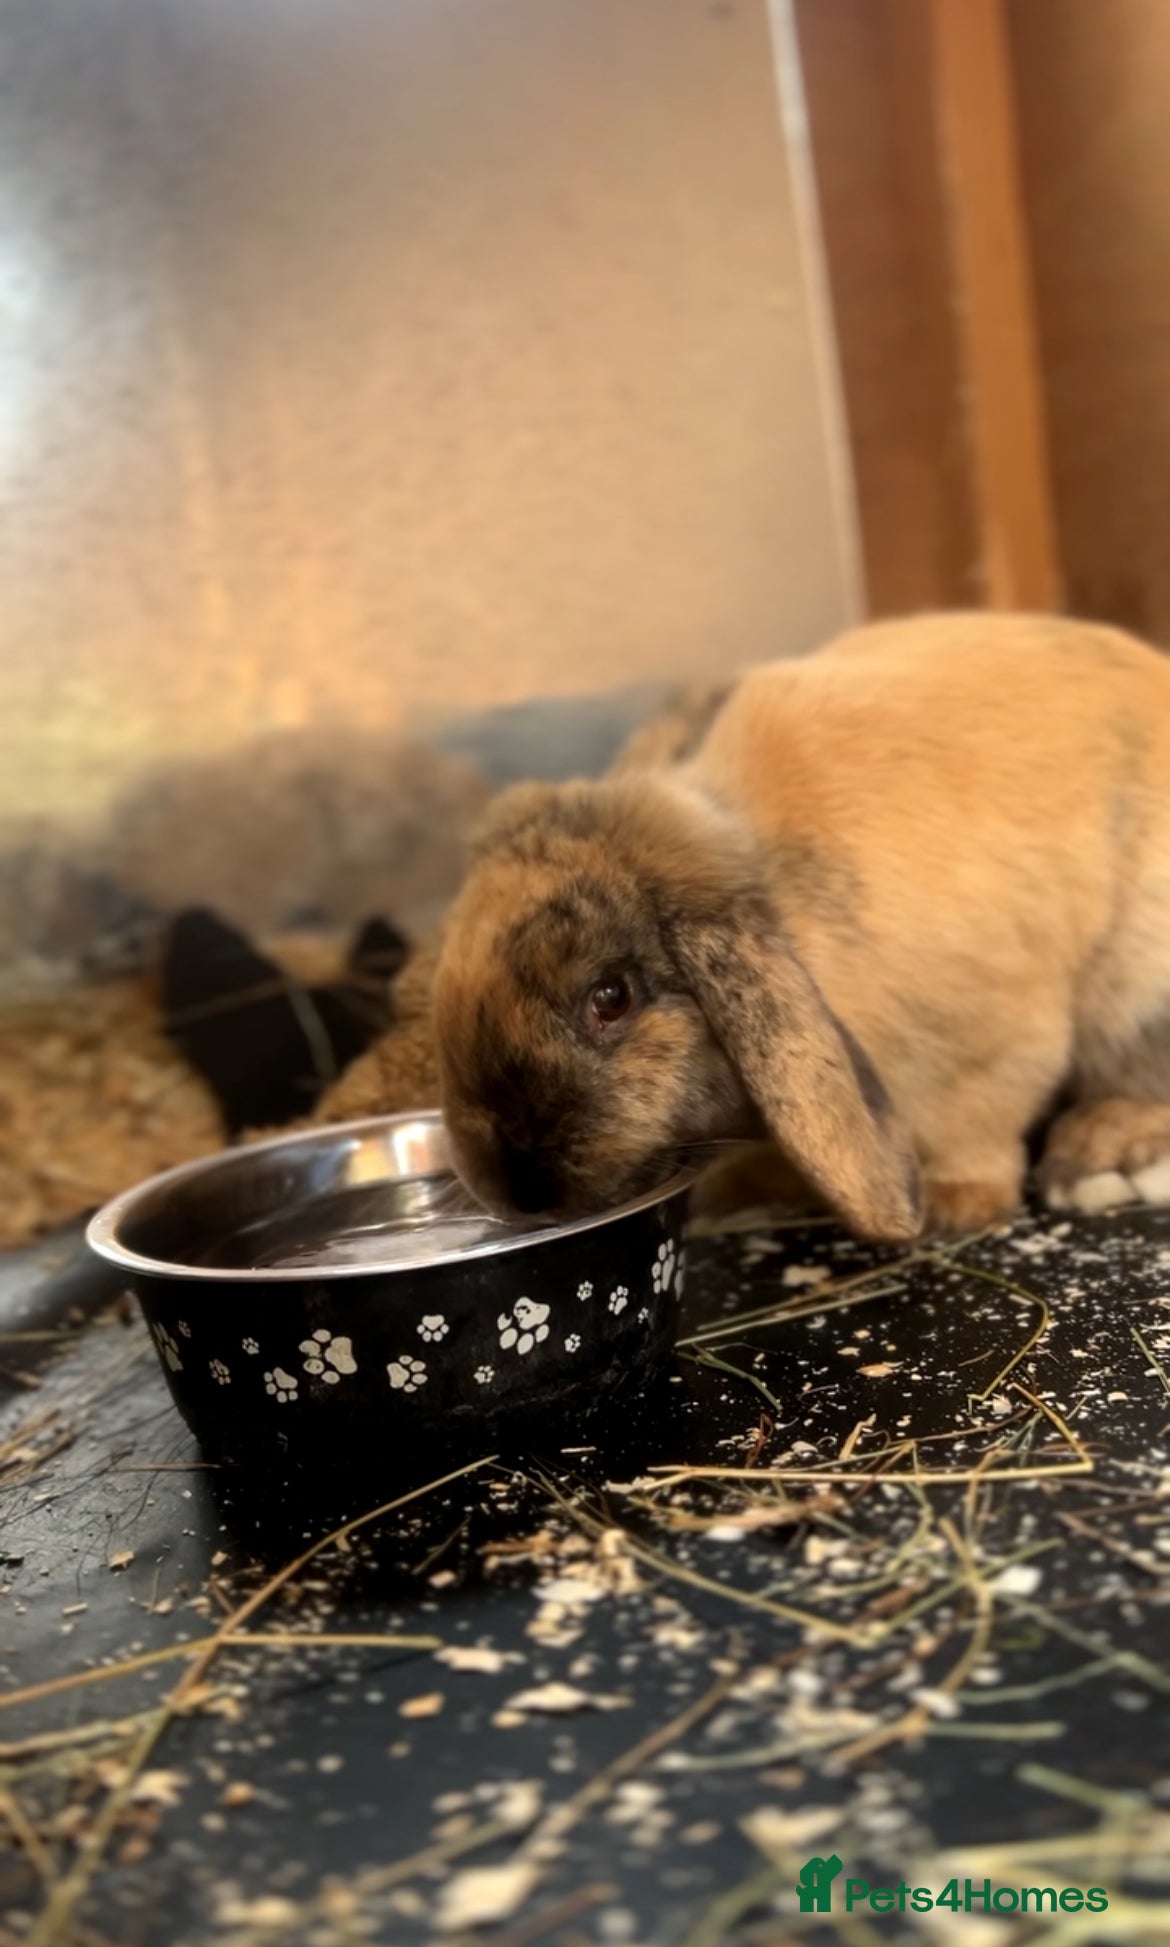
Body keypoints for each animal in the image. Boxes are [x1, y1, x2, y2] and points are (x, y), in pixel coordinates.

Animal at [433, 610, 1170, 1240]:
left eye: (611, 997)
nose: (519, 1190)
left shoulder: (988, 1045)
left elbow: (974, 1126)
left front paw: (954, 1208)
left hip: (1136, 996)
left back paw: (1097, 1160)